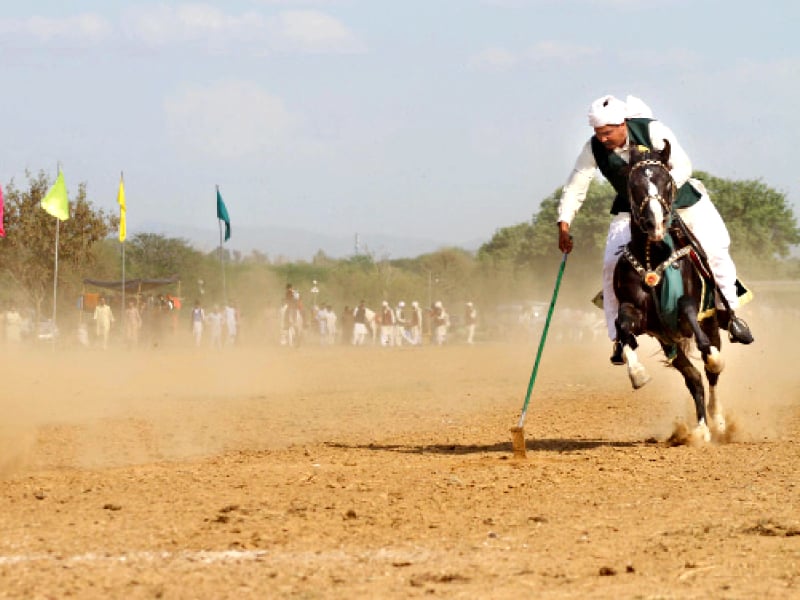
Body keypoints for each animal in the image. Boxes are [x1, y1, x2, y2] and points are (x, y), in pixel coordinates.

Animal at [612, 141, 724, 440]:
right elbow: (623, 324)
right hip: (669, 344)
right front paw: (636, 372)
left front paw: (712, 356)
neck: (653, 256)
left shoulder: (689, 308)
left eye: (666, 181)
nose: (656, 224)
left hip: (709, 324)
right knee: (694, 379)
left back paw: (717, 420)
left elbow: (687, 308)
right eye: (634, 184)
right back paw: (701, 429)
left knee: (710, 373)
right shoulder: (642, 318)